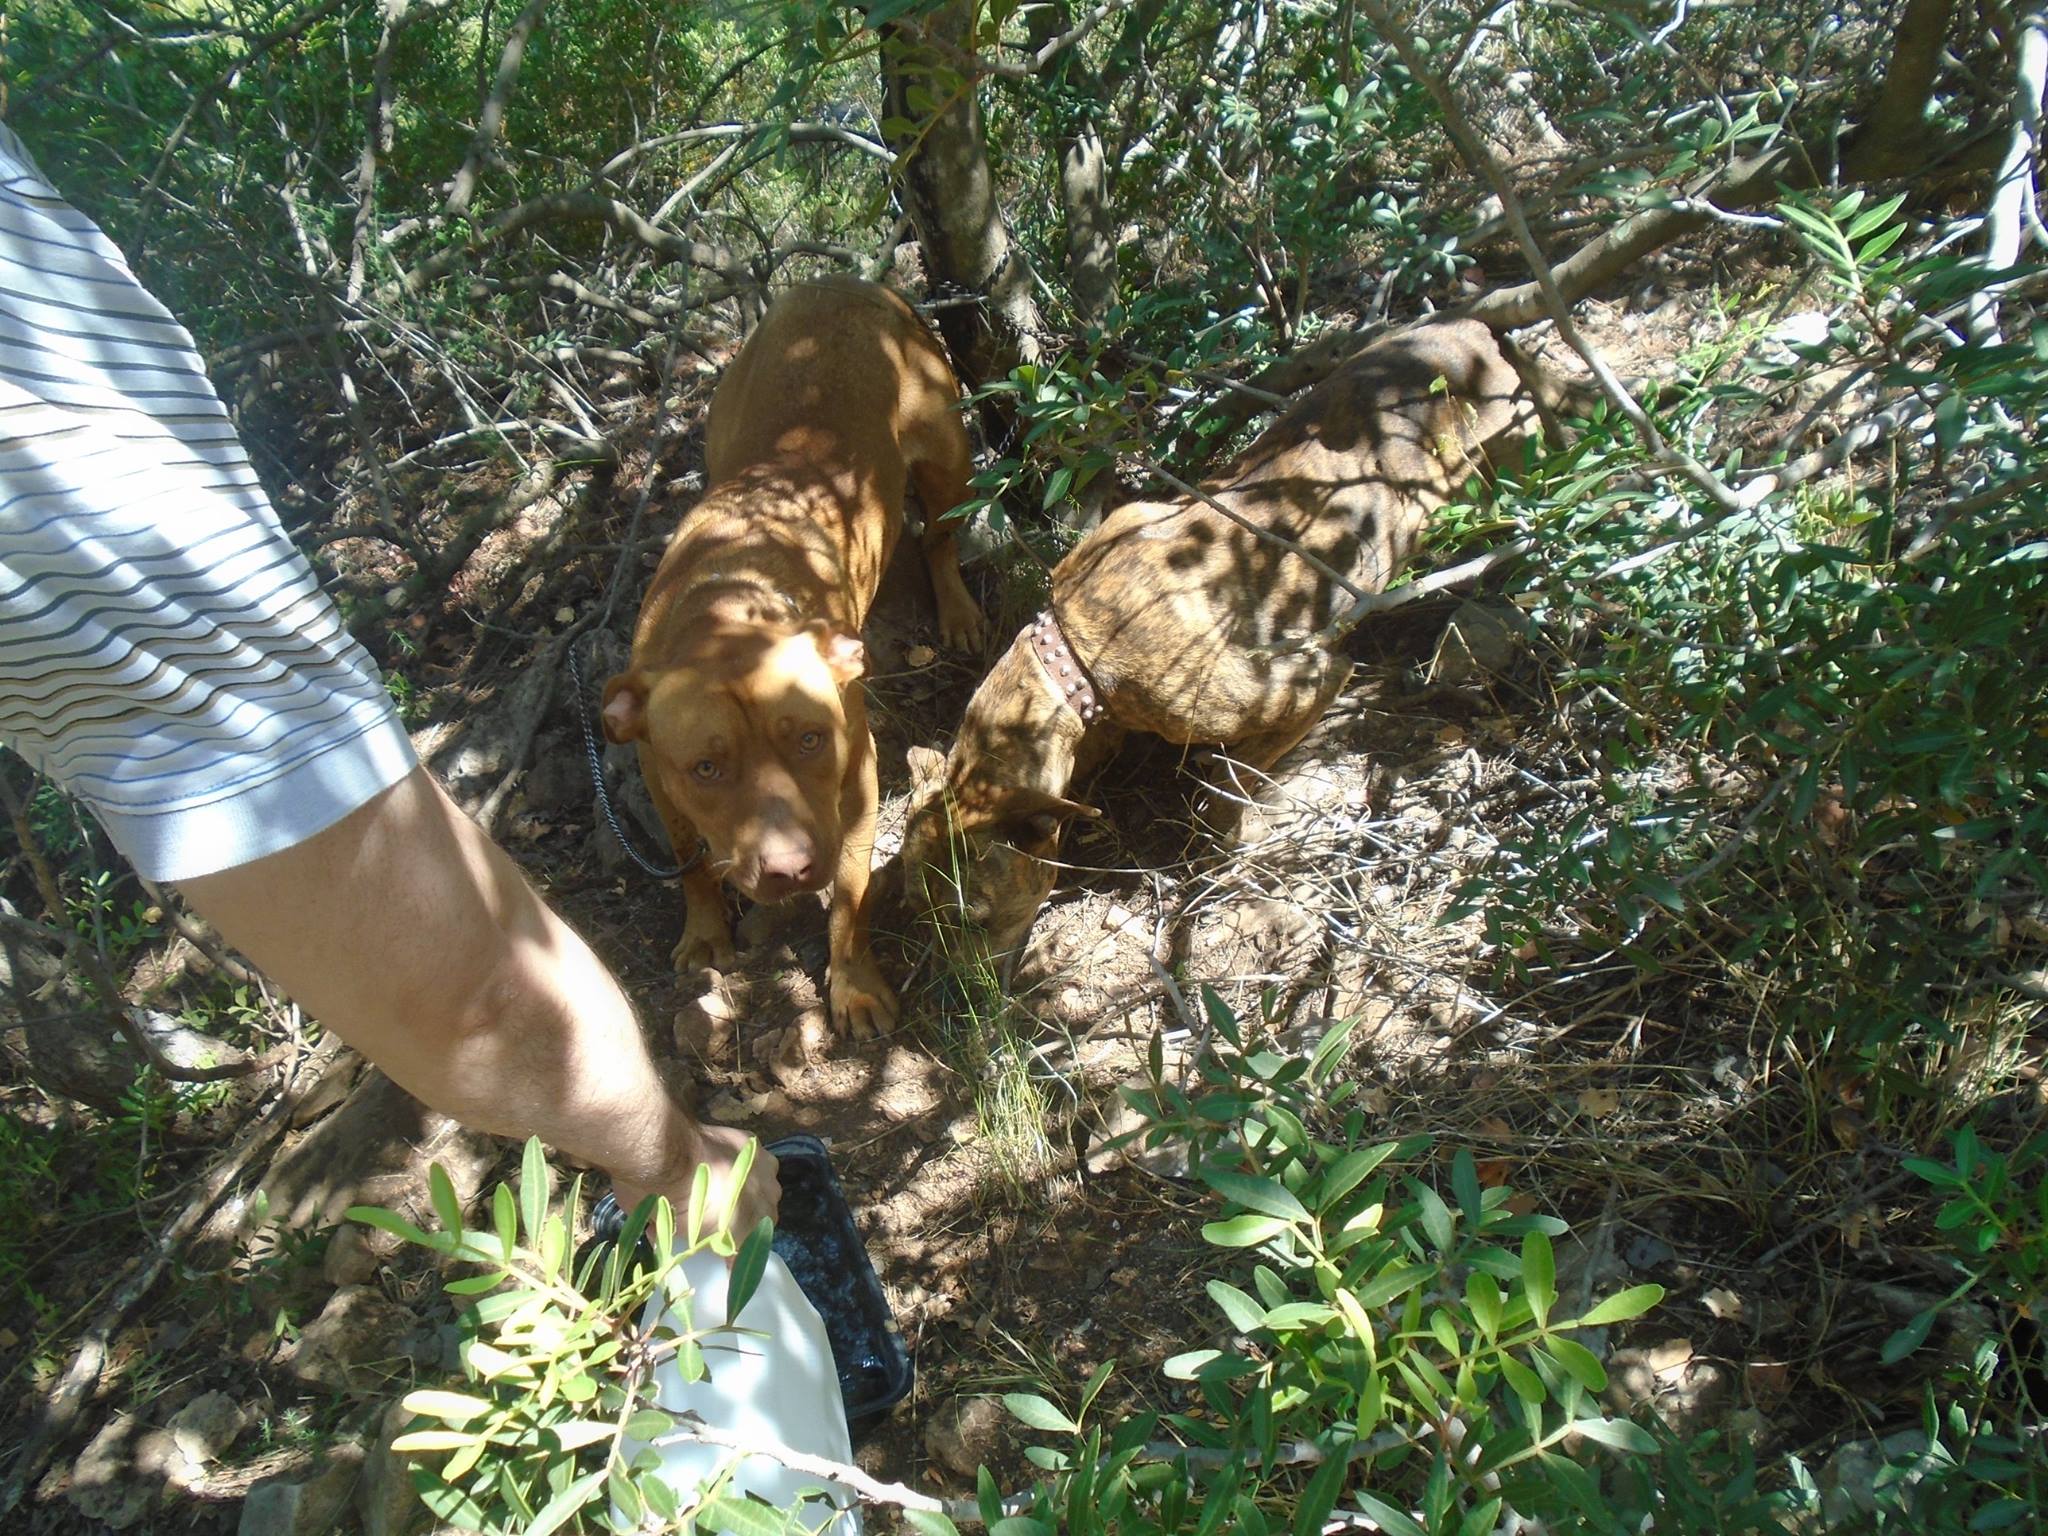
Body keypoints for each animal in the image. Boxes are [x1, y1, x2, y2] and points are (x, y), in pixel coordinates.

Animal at [603, 276, 984, 1037]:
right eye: (707, 767)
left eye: (810, 739)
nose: (788, 870)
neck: (725, 608)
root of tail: (844, 280)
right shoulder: (659, 775)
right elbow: (690, 859)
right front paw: (705, 932)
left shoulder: (858, 783)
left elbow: (851, 895)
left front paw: (853, 984)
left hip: (947, 454)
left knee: (940, 535)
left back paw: (956, 610)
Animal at [901, 318, 1553, 962]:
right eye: (920, 910)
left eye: (975, 920)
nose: (962, 990)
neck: (1071, 658)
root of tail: (1475, 325)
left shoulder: (1310, 681)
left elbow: (1232, 783)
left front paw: (1223, 845)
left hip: (1516, 465)